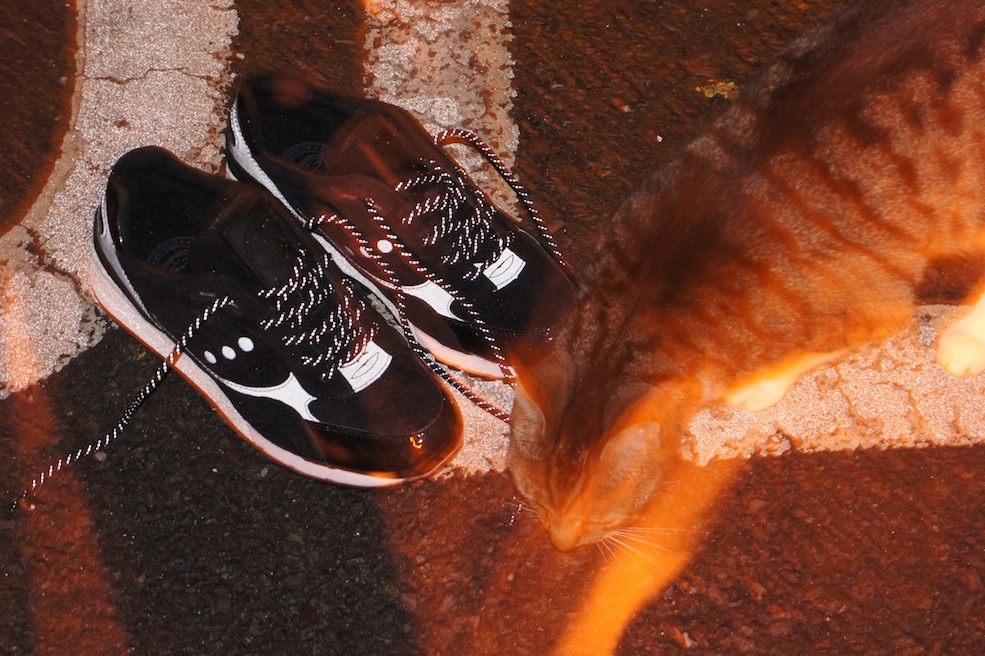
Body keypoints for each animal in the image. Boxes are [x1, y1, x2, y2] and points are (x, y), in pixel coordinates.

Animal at [509, 0, 985, 553]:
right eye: (536, 498)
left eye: (597, 514)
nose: (562, 544)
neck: (644, 302)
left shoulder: (870, 307)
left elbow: (802, 353)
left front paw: (755, 386)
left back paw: (966, 338)